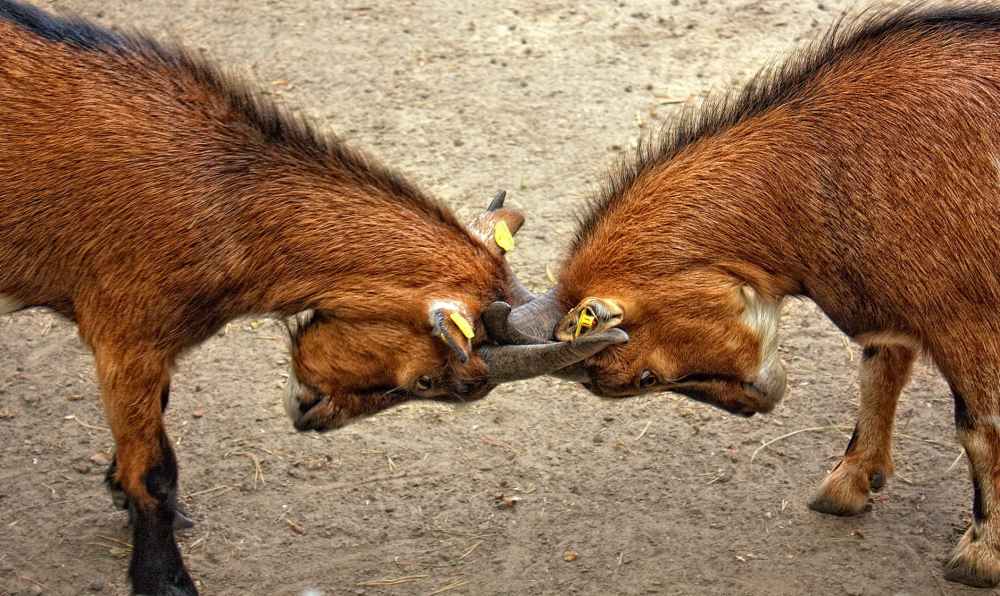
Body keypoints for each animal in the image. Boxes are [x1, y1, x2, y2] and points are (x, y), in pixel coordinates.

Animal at [0, 2, 624, 594]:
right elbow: (154, 472)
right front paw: (166, 580)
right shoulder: (125, 336)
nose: (309, 417)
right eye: (434, 383)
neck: (223, 198)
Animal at [486, 4, 1000, 588]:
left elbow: (979, 427)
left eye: (645, 378)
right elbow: (878, 376)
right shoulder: (889, 310)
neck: (820, 167)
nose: (756, 404)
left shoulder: (964, 317)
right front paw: (845, 486)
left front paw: (979, 556)